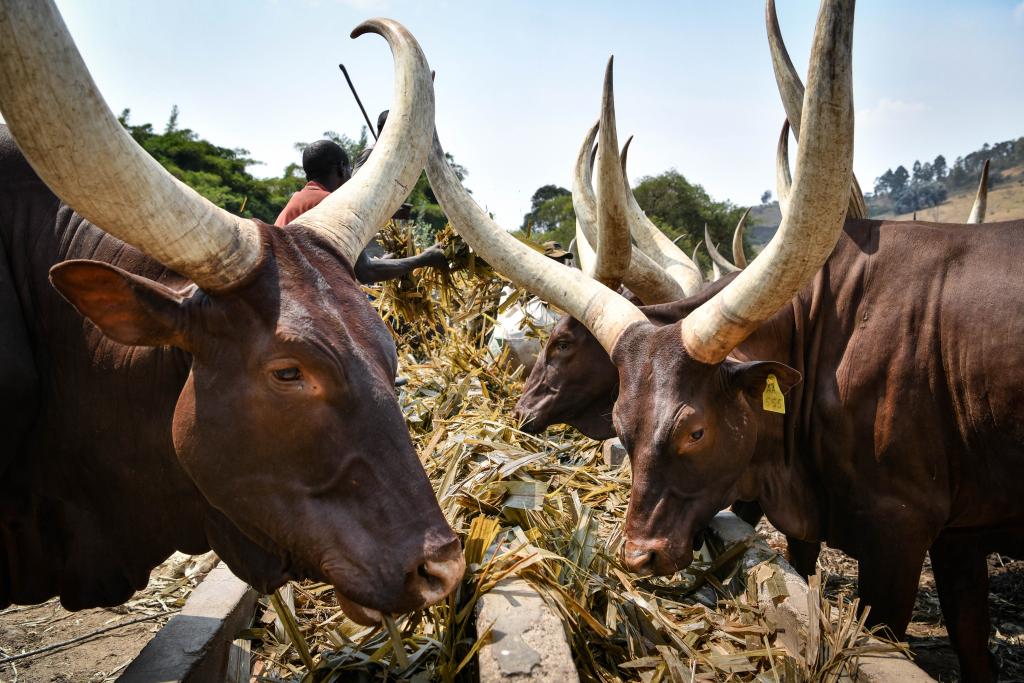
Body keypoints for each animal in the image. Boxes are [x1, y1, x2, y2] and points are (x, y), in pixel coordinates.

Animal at [427, 1, 1024, 679]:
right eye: (623, 424)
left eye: (695, 431)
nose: (638, 557)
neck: (834, 335)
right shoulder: (954, 538)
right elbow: (970, 642)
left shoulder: (898, 538)